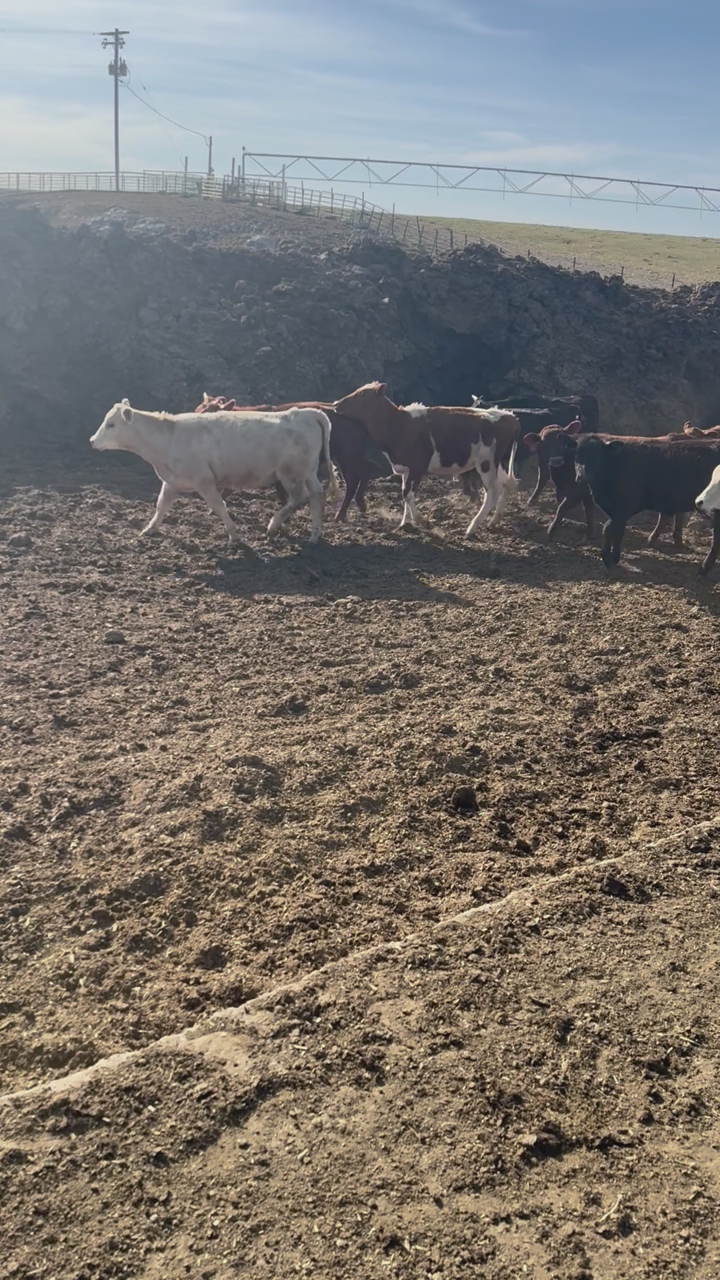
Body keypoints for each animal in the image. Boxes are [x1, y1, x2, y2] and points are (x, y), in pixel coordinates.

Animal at [90, 399, 338, 545]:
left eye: (111, 424)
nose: (92, 441)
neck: (169, 438)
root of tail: (307, 413)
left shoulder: (204, 481)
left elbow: (219, 506)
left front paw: (234, 535)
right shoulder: (172, 481)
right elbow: (162, 505)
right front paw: (149, 529)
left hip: (290, 474)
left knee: (299, 497)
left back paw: (273, 525)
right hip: (307, 472)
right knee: (316, 494)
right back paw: (315, 534)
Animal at [196, 393, 387, 522]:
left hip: (347, 456)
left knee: (353, 480)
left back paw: (340, 514)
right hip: (351, 456)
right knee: (366, 469)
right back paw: (360, 504)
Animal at [333, 381, 519, 534]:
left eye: (362, 395)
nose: (335, 404)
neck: (398, 425)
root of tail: (509, 416)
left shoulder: (417, 467)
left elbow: (407, 494)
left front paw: (420, 520)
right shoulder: (405, 469)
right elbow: (404, 493)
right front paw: (405, 523)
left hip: (486, 463)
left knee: (492, 491)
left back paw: (472, 527)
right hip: (495, 463)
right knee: (506, 483)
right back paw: (494, 520)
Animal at [574, 435, 720, 572]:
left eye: (597, 455)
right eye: (576, 456)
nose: (582, 477)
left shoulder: (627, 507)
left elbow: (609, 528)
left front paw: (608, 558)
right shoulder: (617, 511)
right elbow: (616, 530)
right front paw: (613, 558)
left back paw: (703, 570)